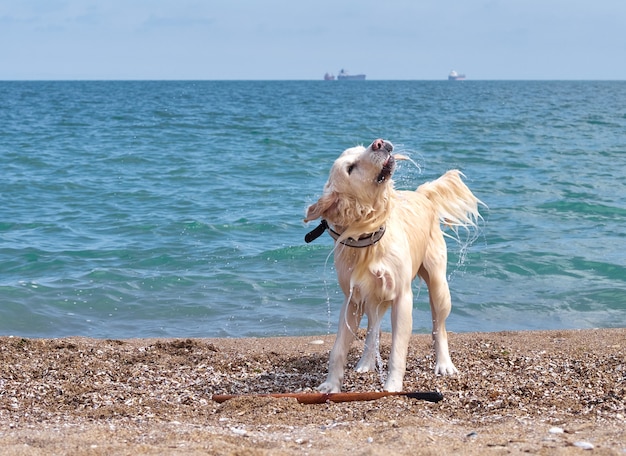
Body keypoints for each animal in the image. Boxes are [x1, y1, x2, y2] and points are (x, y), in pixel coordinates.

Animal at [304, 139, 480, 392]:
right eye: (350, 168)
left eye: (361, 148)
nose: (378, 143)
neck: (369, 236)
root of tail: (421, 194)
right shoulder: (352, 300)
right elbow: (338, 348)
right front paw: (331, 385)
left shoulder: (402, 297)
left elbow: (398, 350)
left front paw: (392, 386)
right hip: (373, 296)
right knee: (373, 329)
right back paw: (366, 362)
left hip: (438, 285)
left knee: (439, 327)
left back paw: (444, 364)